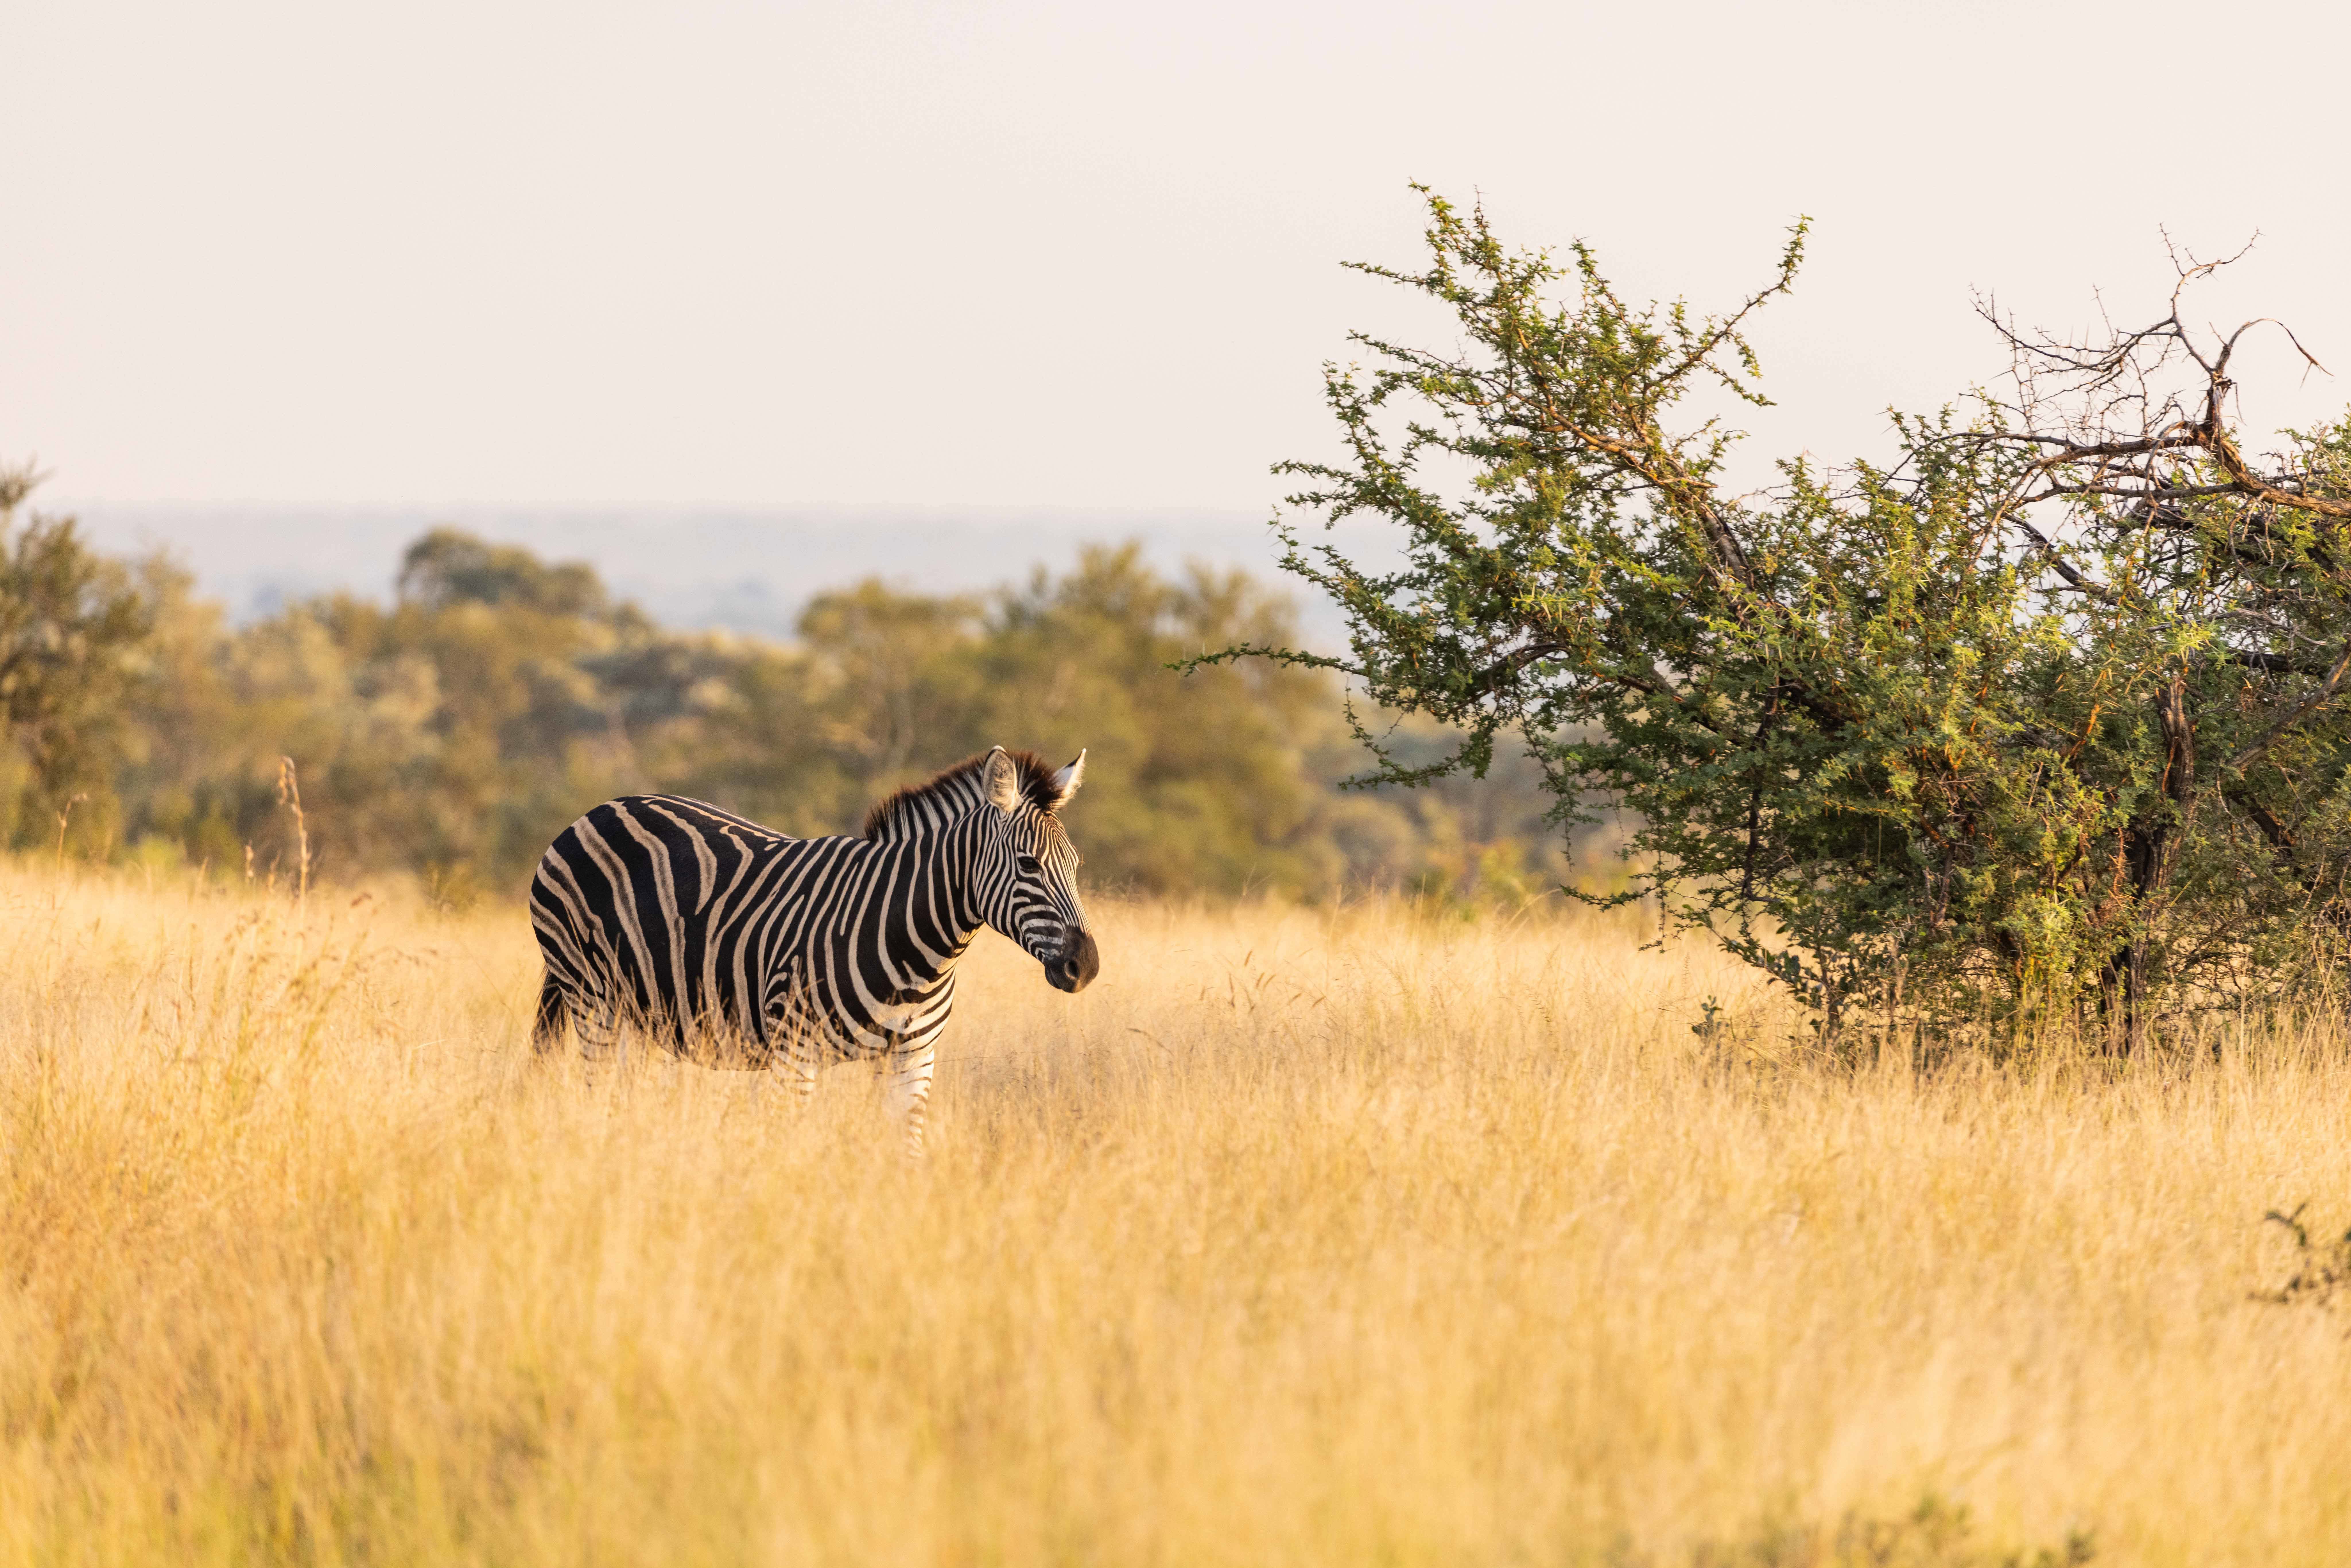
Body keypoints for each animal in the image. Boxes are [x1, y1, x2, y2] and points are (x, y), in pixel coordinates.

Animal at [526, 745, 1099, 1152]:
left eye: (1076, 866)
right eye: (1028, 864)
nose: (1086, 967)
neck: (917, 950)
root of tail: (596, 810)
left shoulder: (913, 1059)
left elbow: (906, 1155)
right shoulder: (794, 1051)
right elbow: (790, 1150)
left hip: (641, 1012)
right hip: (592, 998)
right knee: (598, 1094)